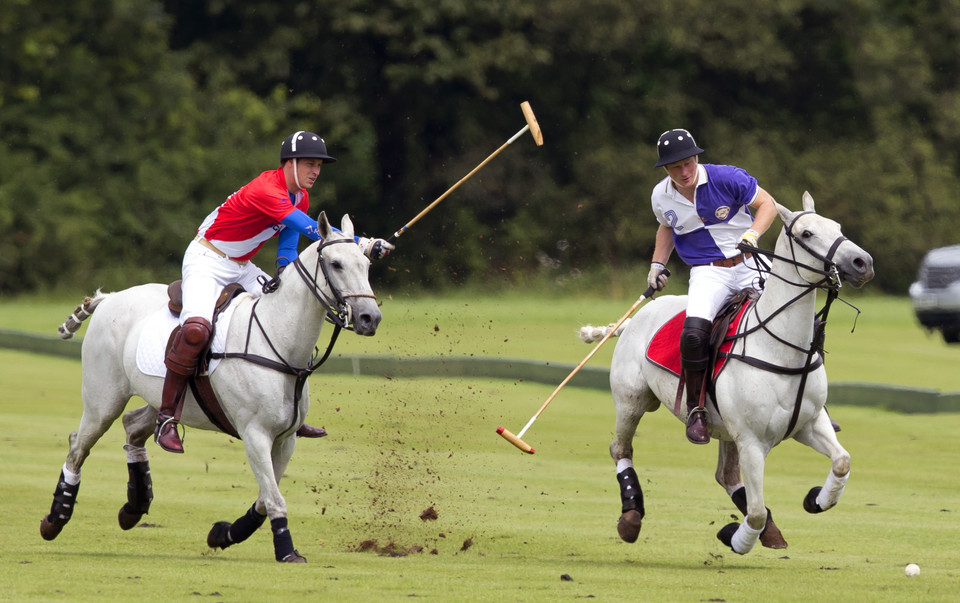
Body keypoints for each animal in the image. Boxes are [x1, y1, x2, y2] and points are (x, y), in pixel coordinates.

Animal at [40, 212, 378, 560]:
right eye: (336, 264)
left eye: (366, 265)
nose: (370, 318)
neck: (278, 340)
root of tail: (110, 298)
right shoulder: (255, 434)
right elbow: (273, 498)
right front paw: (286, 551)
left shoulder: (286, 439)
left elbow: (264, 497)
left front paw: (224, 533)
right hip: (103, 399)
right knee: (78, 445)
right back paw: (55, 519)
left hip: (160, 399)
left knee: (133, 426)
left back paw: (134, 507)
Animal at [580, 195, 872, 556]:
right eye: (806, 233)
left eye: (837, 227)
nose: (863, 263)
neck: (780, 349)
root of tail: (633, 320)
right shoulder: (752, 441)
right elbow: (757, 512)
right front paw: (737, 536)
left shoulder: (810, 423)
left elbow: (842, 461)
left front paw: (815, 499)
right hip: (631, 400)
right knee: (620, 449)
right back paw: (631, 519)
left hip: (725, 428)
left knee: (726, 475)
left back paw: (770, 531)